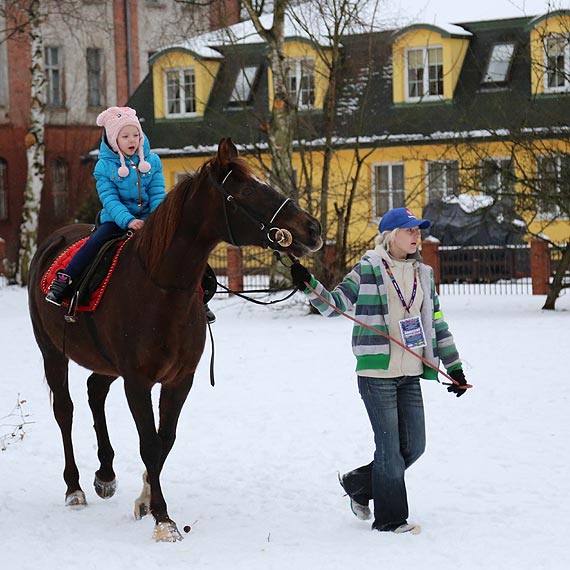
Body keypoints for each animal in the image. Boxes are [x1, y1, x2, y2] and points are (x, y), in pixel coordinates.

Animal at [27, 138, 320, 536]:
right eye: (246, 190)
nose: (312, 228)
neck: (160, 286)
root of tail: (51, 243)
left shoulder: (180, 379)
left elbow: (165, 439)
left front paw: (145, 500)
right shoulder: (137, 381)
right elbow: (149, 443)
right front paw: (163, 518)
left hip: (106, 363)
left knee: (94, 391)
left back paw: (105, 475)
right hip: (53, 354)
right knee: (65, 410)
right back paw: (74, 487)